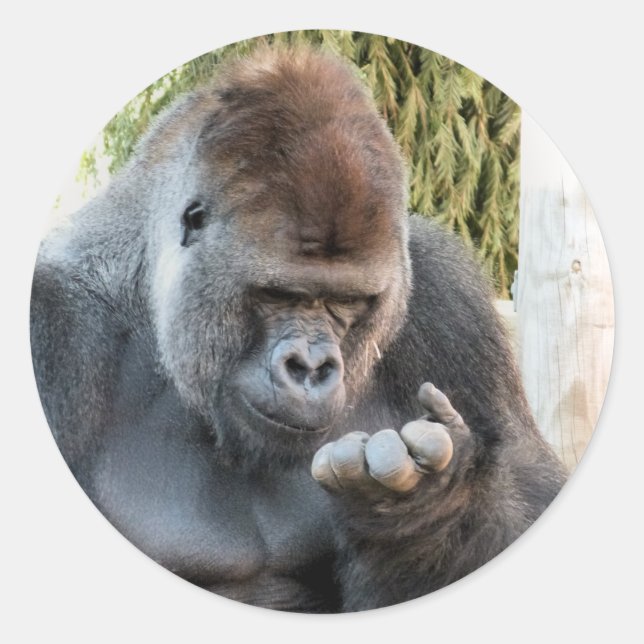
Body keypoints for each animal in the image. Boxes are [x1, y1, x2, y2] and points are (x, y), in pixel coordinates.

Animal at [30, 45, 566, 612]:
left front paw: (426, 508)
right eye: (278, 295)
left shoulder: (449, 300)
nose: (310, 366)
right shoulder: (54, 326)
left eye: (346, 301)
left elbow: (532, 490)